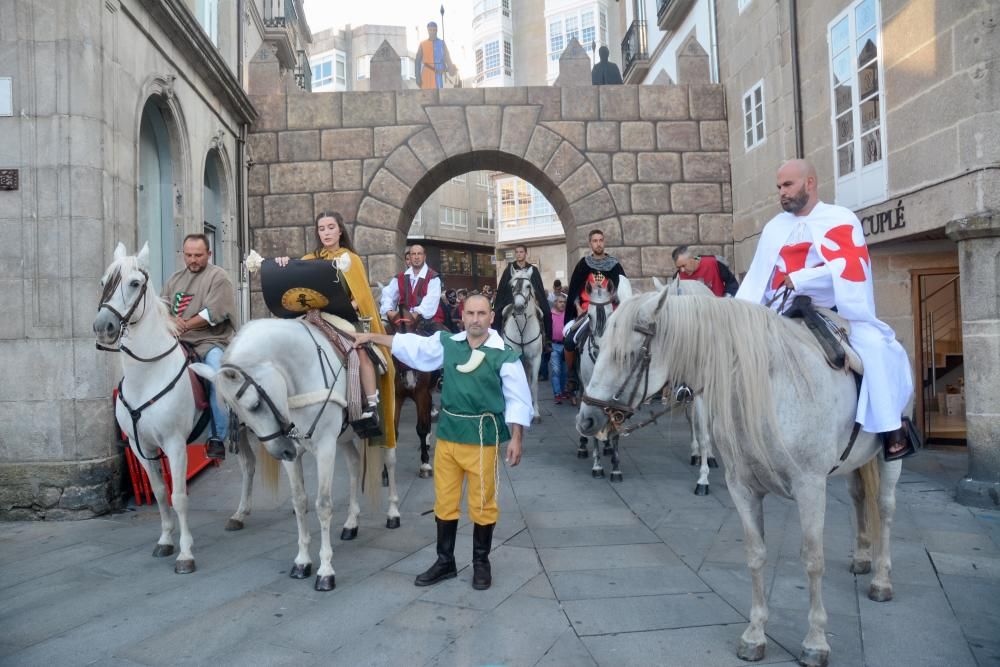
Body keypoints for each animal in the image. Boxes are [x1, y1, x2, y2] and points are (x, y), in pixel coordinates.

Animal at [93, 244, 258, 576]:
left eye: (134, 283)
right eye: (105, 280)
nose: (103, 327)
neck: (147, 375)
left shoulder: (175, 445)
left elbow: (179, 496)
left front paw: (185, 554)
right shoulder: (141, 447)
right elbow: (159, 493)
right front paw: (165, 541)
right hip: (241, 432)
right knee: (249, 466)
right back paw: (238, 515)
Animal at [191, 318, 398, 588]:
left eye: (255, 405)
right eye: (233, 413)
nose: (281, 450)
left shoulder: (325, 448)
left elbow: (323, 504)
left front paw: (325, 571)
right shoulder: (296, 454)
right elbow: (300, 502)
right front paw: (302, 561)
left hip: (387, 422)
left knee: (390, 461)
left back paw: (393, 513)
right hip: (343, 438)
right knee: (354, 464)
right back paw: (351, 523)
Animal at [384, 306, 436, 478]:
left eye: (414, 333)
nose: (410, 380)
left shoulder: (420, 394)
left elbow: (421, 428)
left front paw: (425, 464)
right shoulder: (396, 396)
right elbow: (393, 431)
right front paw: (386, 470)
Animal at [500, 266, 548, 422]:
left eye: (528, 286)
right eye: (512, 286)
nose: (519, 307)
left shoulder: (536, 358)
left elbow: (533, 385)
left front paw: (536, 413)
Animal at [580, 294, 900, 667]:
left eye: (627, 355)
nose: (586, 419)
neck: (768, 386)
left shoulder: (810, 486)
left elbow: (813, 560)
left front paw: (816, 641)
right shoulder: (742, 488)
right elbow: (756, 555)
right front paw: (755, 634)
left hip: (889, 458)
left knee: (885, 508)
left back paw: (881, 579)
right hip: (856, 461)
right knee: (859, 496)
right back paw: (862, 556)